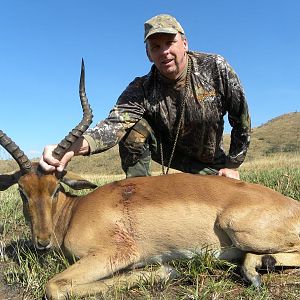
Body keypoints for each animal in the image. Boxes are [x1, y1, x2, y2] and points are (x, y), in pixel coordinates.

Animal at [0, 62, 300, 298]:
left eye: (54, 189)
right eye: (23, 191)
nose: (42, 241)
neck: (73, 212)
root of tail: (292, 204)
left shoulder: (116, 253)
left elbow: (54, 285)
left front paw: (165, 271)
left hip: (239, 229)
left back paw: (254, 273)